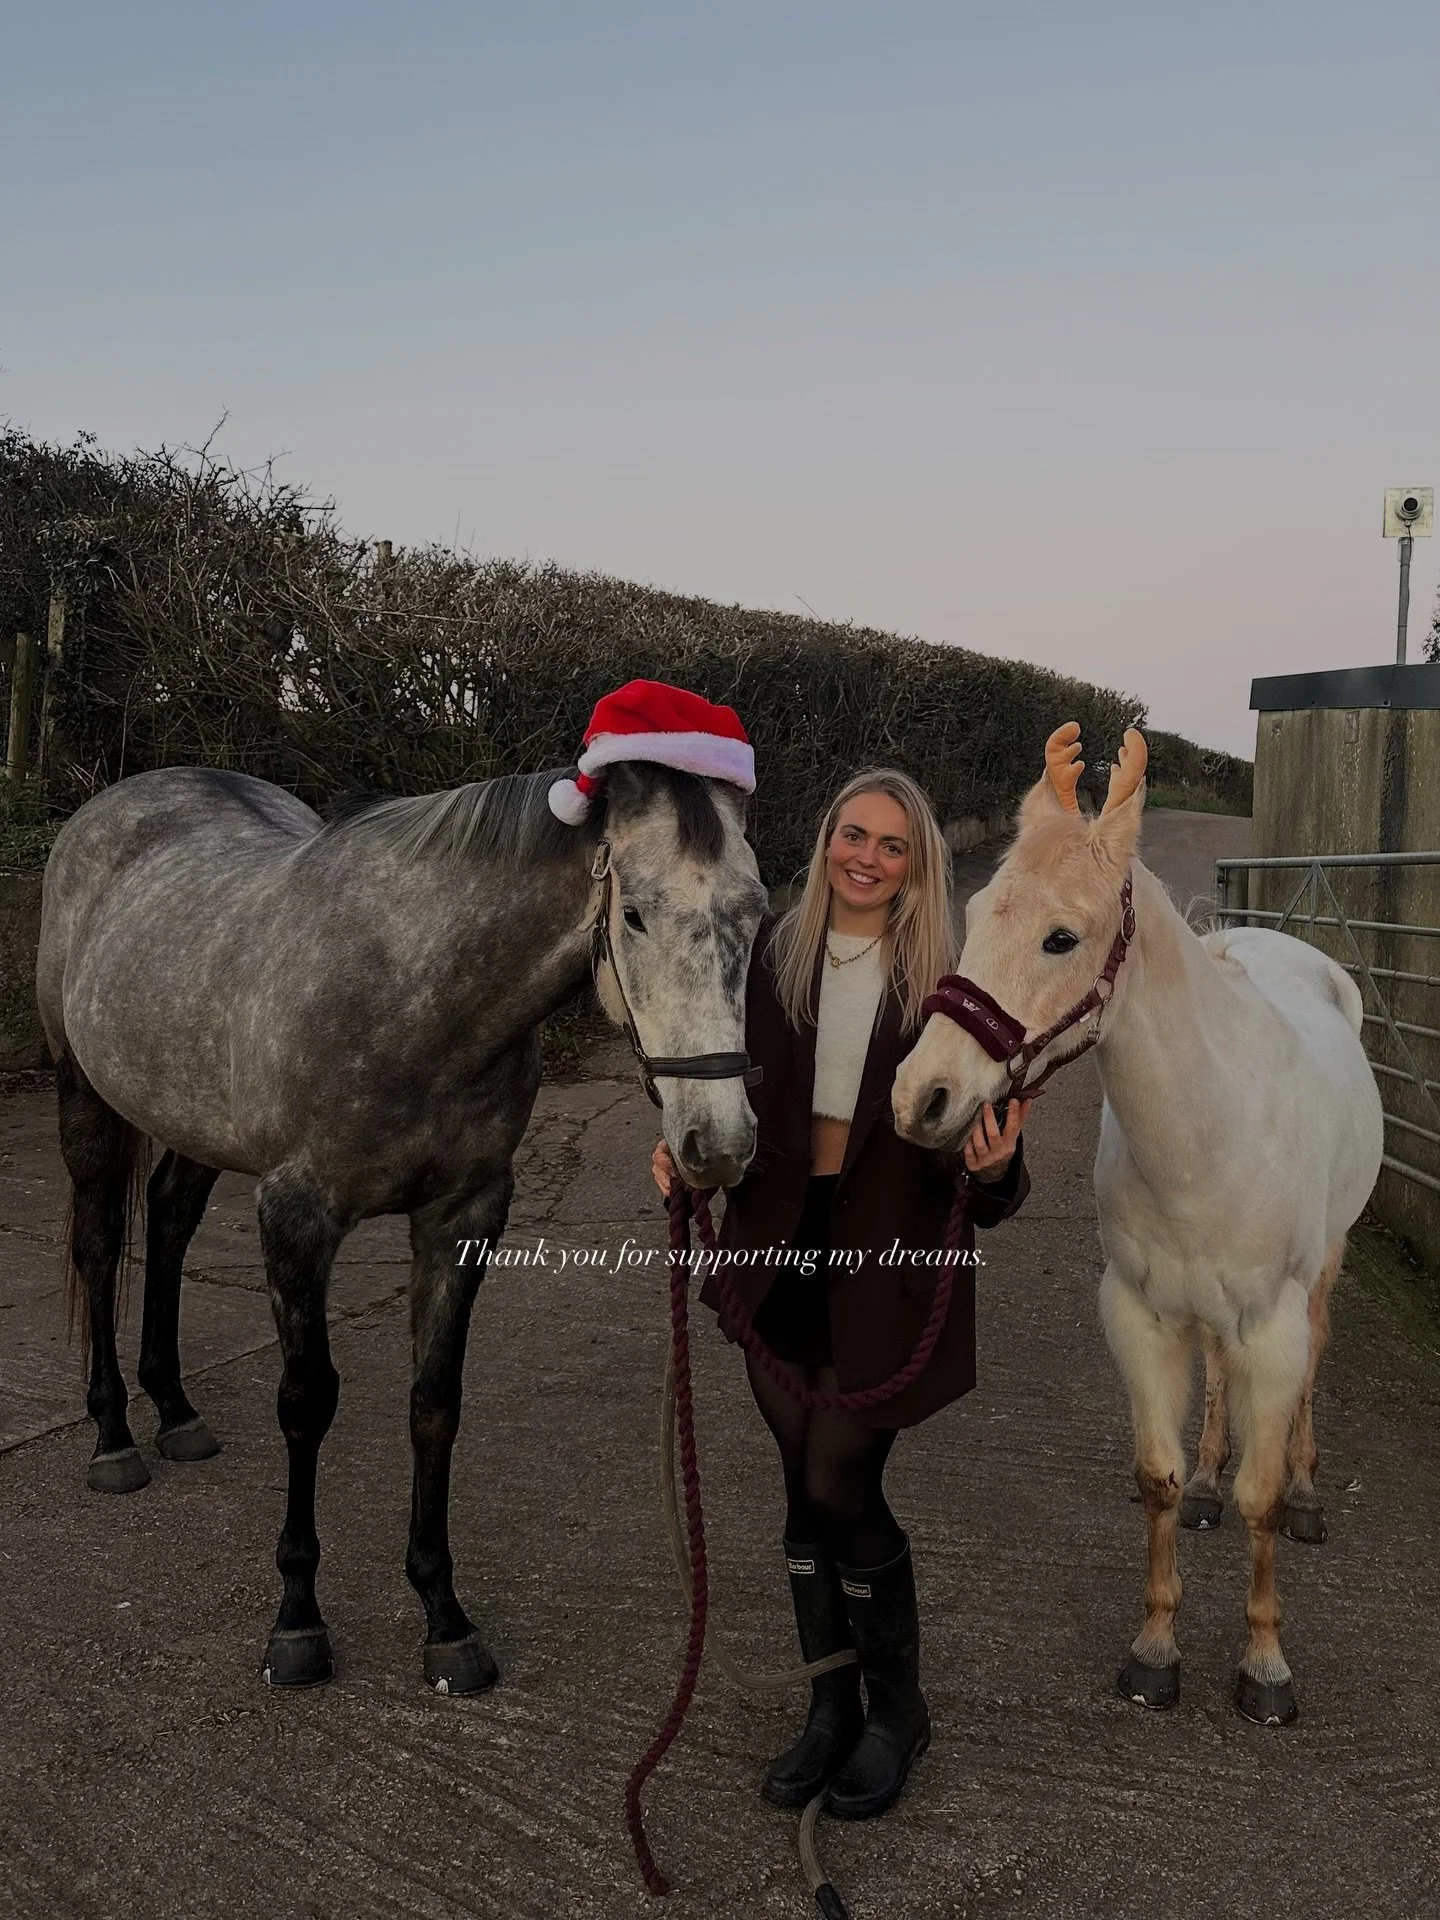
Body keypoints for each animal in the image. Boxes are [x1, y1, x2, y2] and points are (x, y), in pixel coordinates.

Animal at [37, 757, 766, 1691]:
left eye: (755, 909)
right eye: (634, 912)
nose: (719, 1144)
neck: (414, 995)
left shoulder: (463, 1216)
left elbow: (434, 1402)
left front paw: (444, 1618)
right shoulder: (297, 1219)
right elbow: (307, 1401)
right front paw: (298, 1621)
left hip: (194, 1117)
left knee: (168, 1222)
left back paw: (174, 1409)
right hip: (84, 1094)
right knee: (99, 1247)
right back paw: (114, 1437)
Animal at [891, 723, 1382, 1725]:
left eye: (1061, 937)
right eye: (979, 912)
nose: (924, 1097)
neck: (1209, 1131)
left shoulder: (1271, 1326)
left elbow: (1262, 1497)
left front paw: (1264, 1664)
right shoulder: (1140, 1317)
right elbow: (1155, 1479)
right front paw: (1156, 1647)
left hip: (1321, 1274)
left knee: (1311, 1370)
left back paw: (1308, 1490)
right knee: (1216, 1392)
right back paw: (1207, 1482)